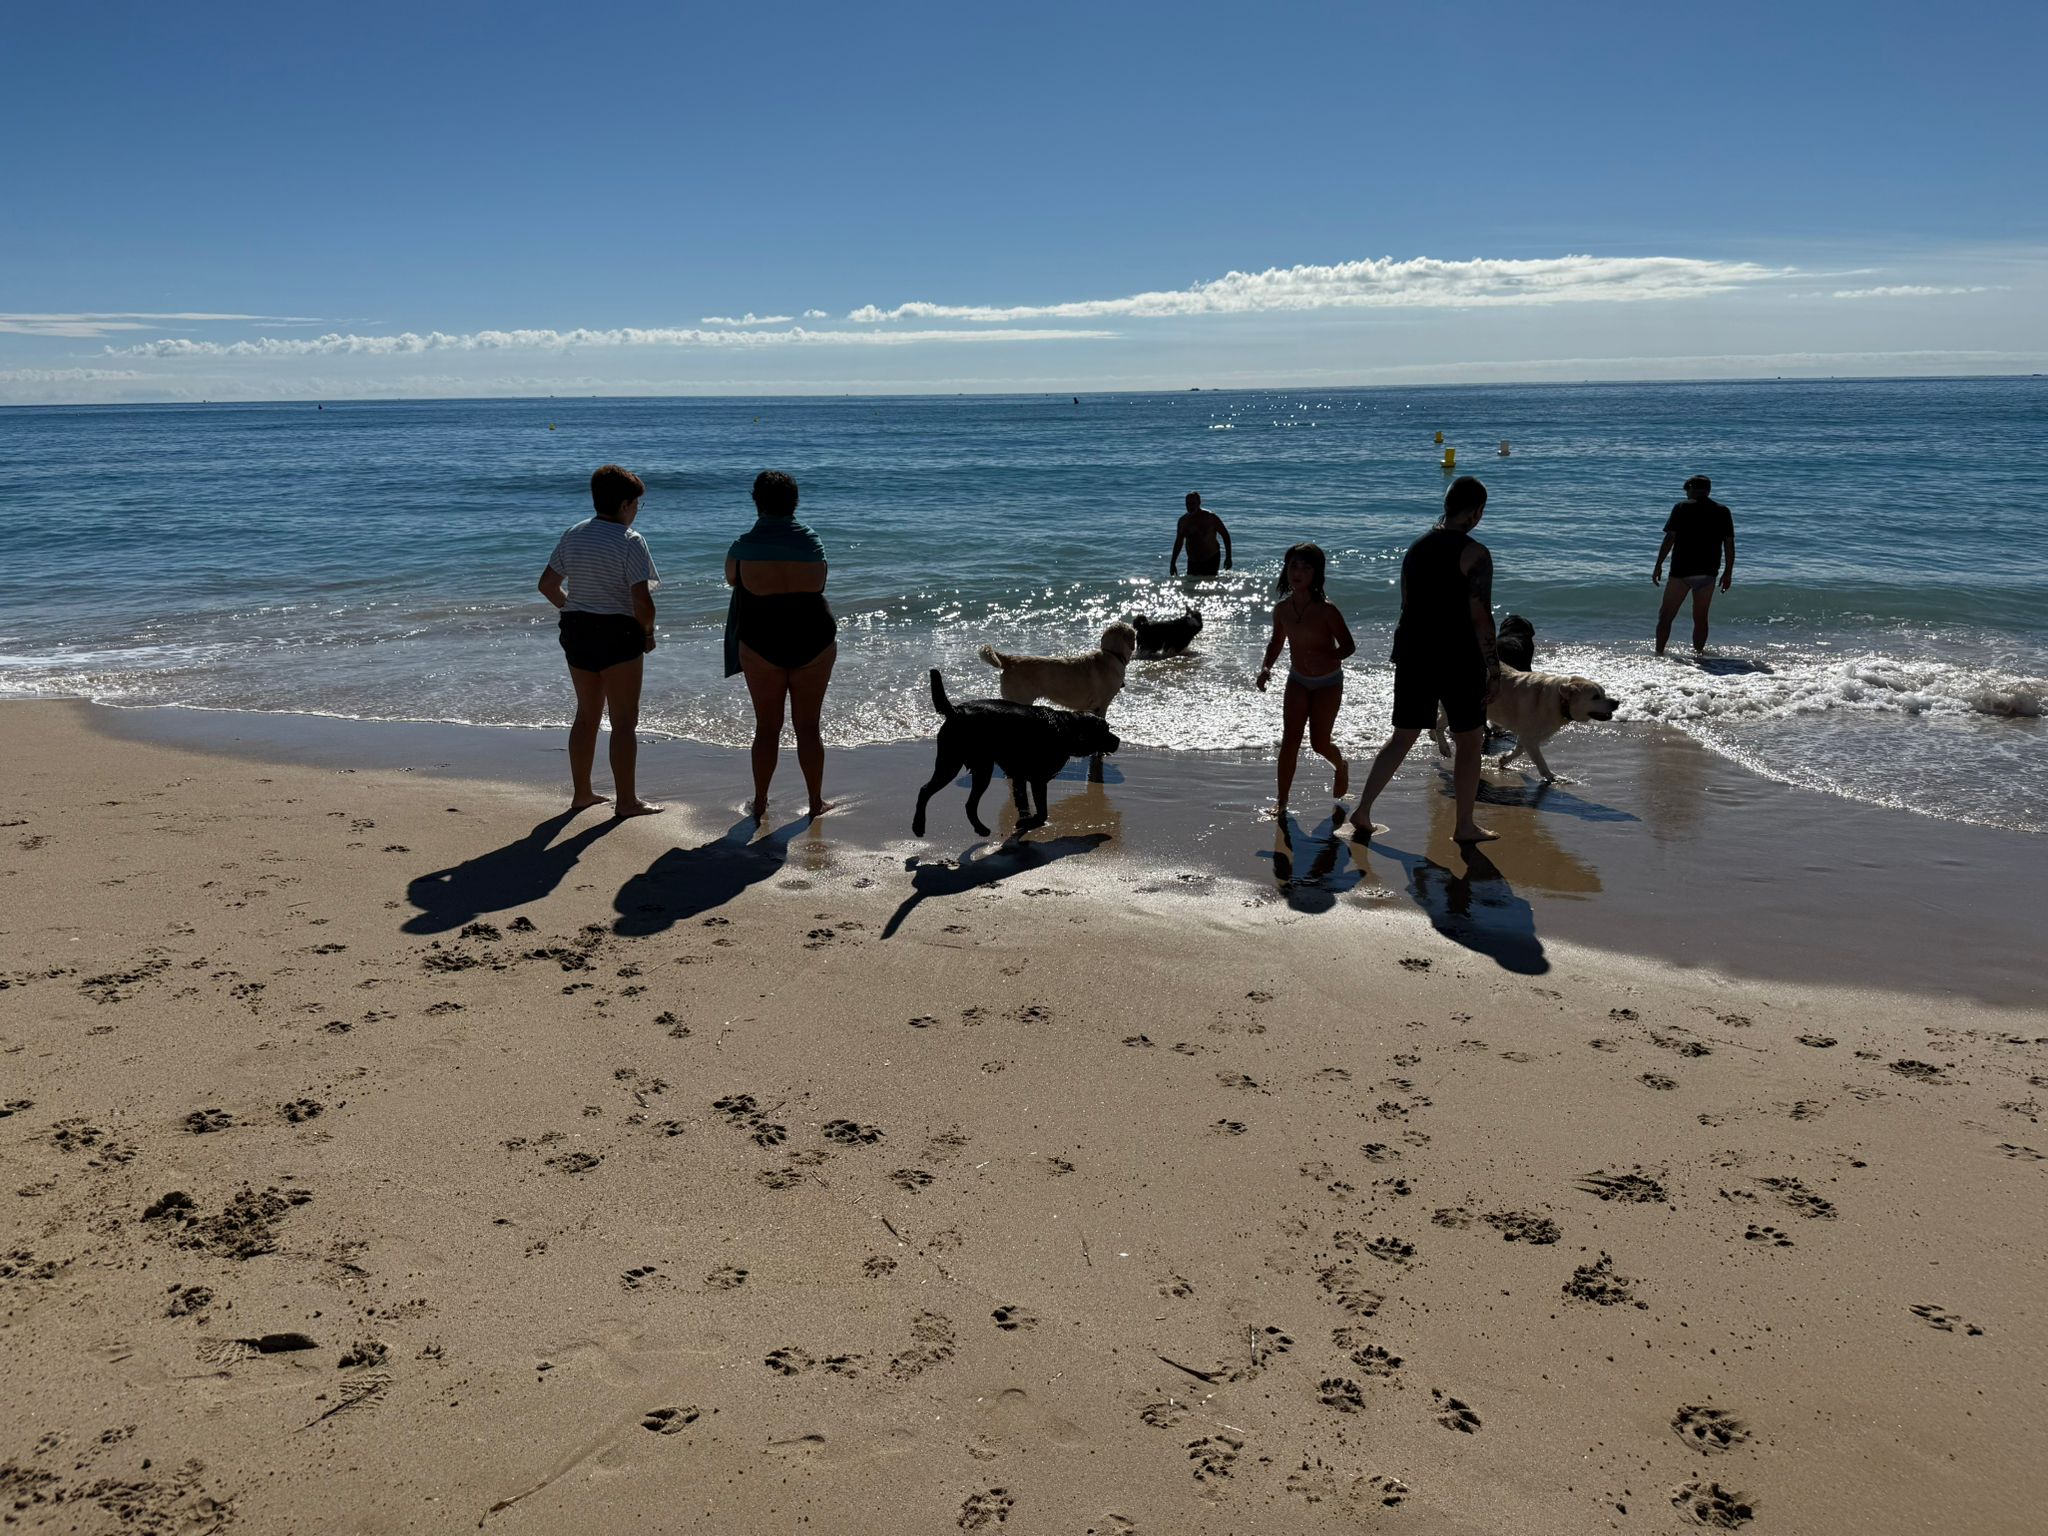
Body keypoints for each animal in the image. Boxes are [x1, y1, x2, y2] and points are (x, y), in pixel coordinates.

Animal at [913, 671, 1122, 843]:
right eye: (1105, 730)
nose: (1119, 740)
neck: (1065, 729)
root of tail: (956, 710)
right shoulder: (1038, 779)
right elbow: (1042, 811)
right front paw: (1031, 822)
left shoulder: (1019, 777)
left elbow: (1023, 801)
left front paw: (1024, 821)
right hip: (956, 764)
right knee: (925, 790)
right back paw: (918, 826)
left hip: (976, 767)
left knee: (968, 804)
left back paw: (980, 829)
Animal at [1441, 663, 1613, 782]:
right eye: (1595, 697)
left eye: (1604, 693)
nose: (1616, 702)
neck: (1560, 701)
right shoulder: (1530, 738)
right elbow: (1540, 761)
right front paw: (1552, 777)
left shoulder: (1527, 735)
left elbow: (1518, 750)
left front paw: (1503, 759)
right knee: (1439, 725)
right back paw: (1444, 747)